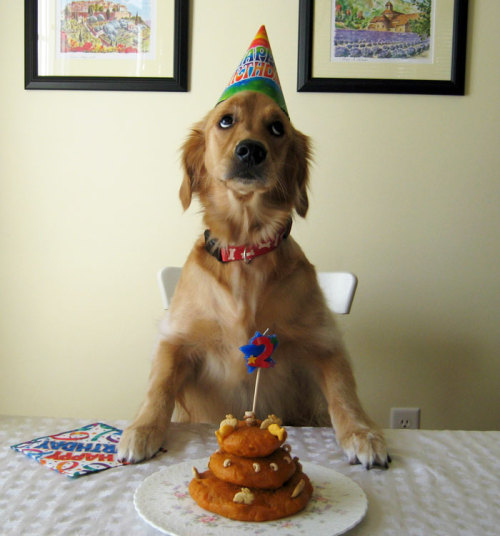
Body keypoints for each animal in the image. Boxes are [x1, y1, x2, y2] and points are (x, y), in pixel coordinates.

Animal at [118, 90, 390, 466]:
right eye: (226, 121)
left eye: (277, 127)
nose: (251, 150)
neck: (246, 250)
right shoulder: (177, 337)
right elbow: (158, 386)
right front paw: (142, 430)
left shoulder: (323, 340)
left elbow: (342, 391)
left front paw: (362, 434)